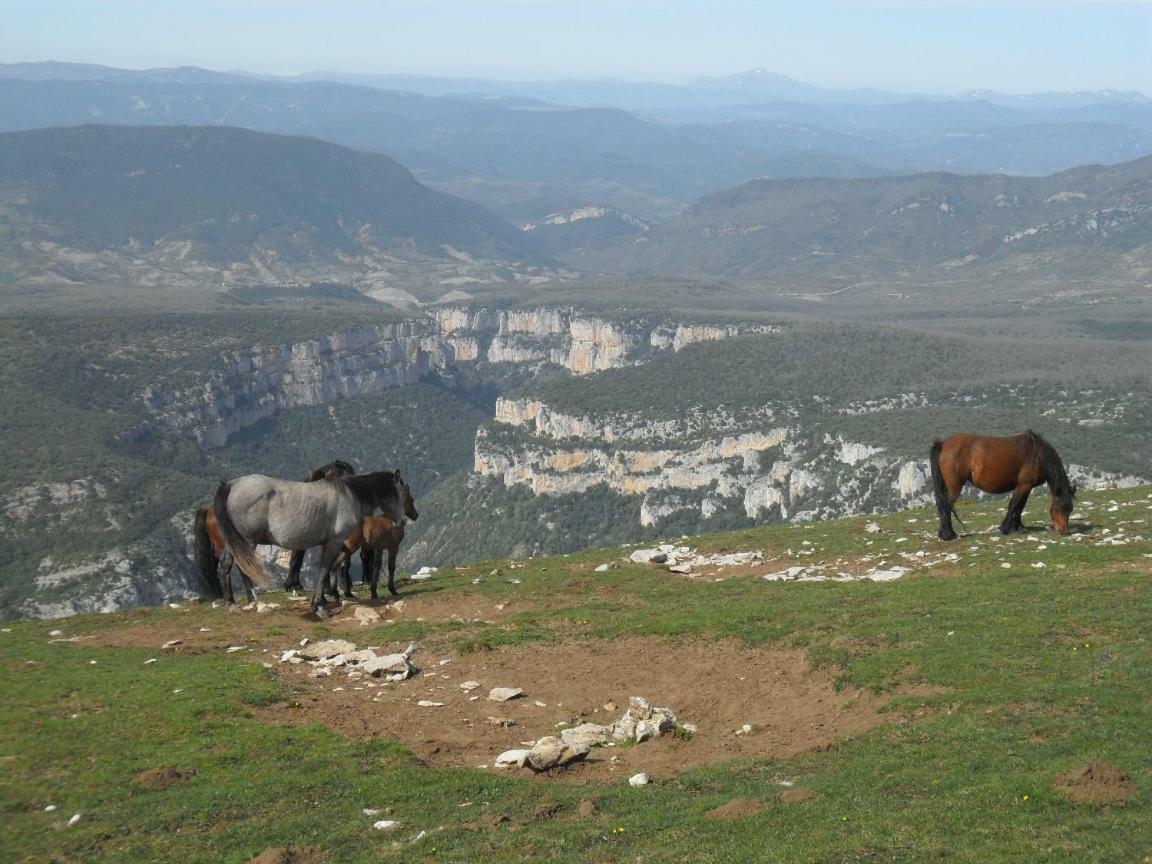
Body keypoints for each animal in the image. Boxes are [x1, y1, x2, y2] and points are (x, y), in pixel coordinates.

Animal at [930, 430, 1073, 541]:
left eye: (1070, 509)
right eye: (1060, 508)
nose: (1064, 531)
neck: (1037, 454)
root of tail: (943, 444)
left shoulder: (1027, 487)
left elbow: (1020, 507)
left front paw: (1019, 527)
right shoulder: (1023, 485)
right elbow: (1014, 505)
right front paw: (1005, 528)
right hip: (955, 487)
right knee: (946, 506)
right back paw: (949, 535)